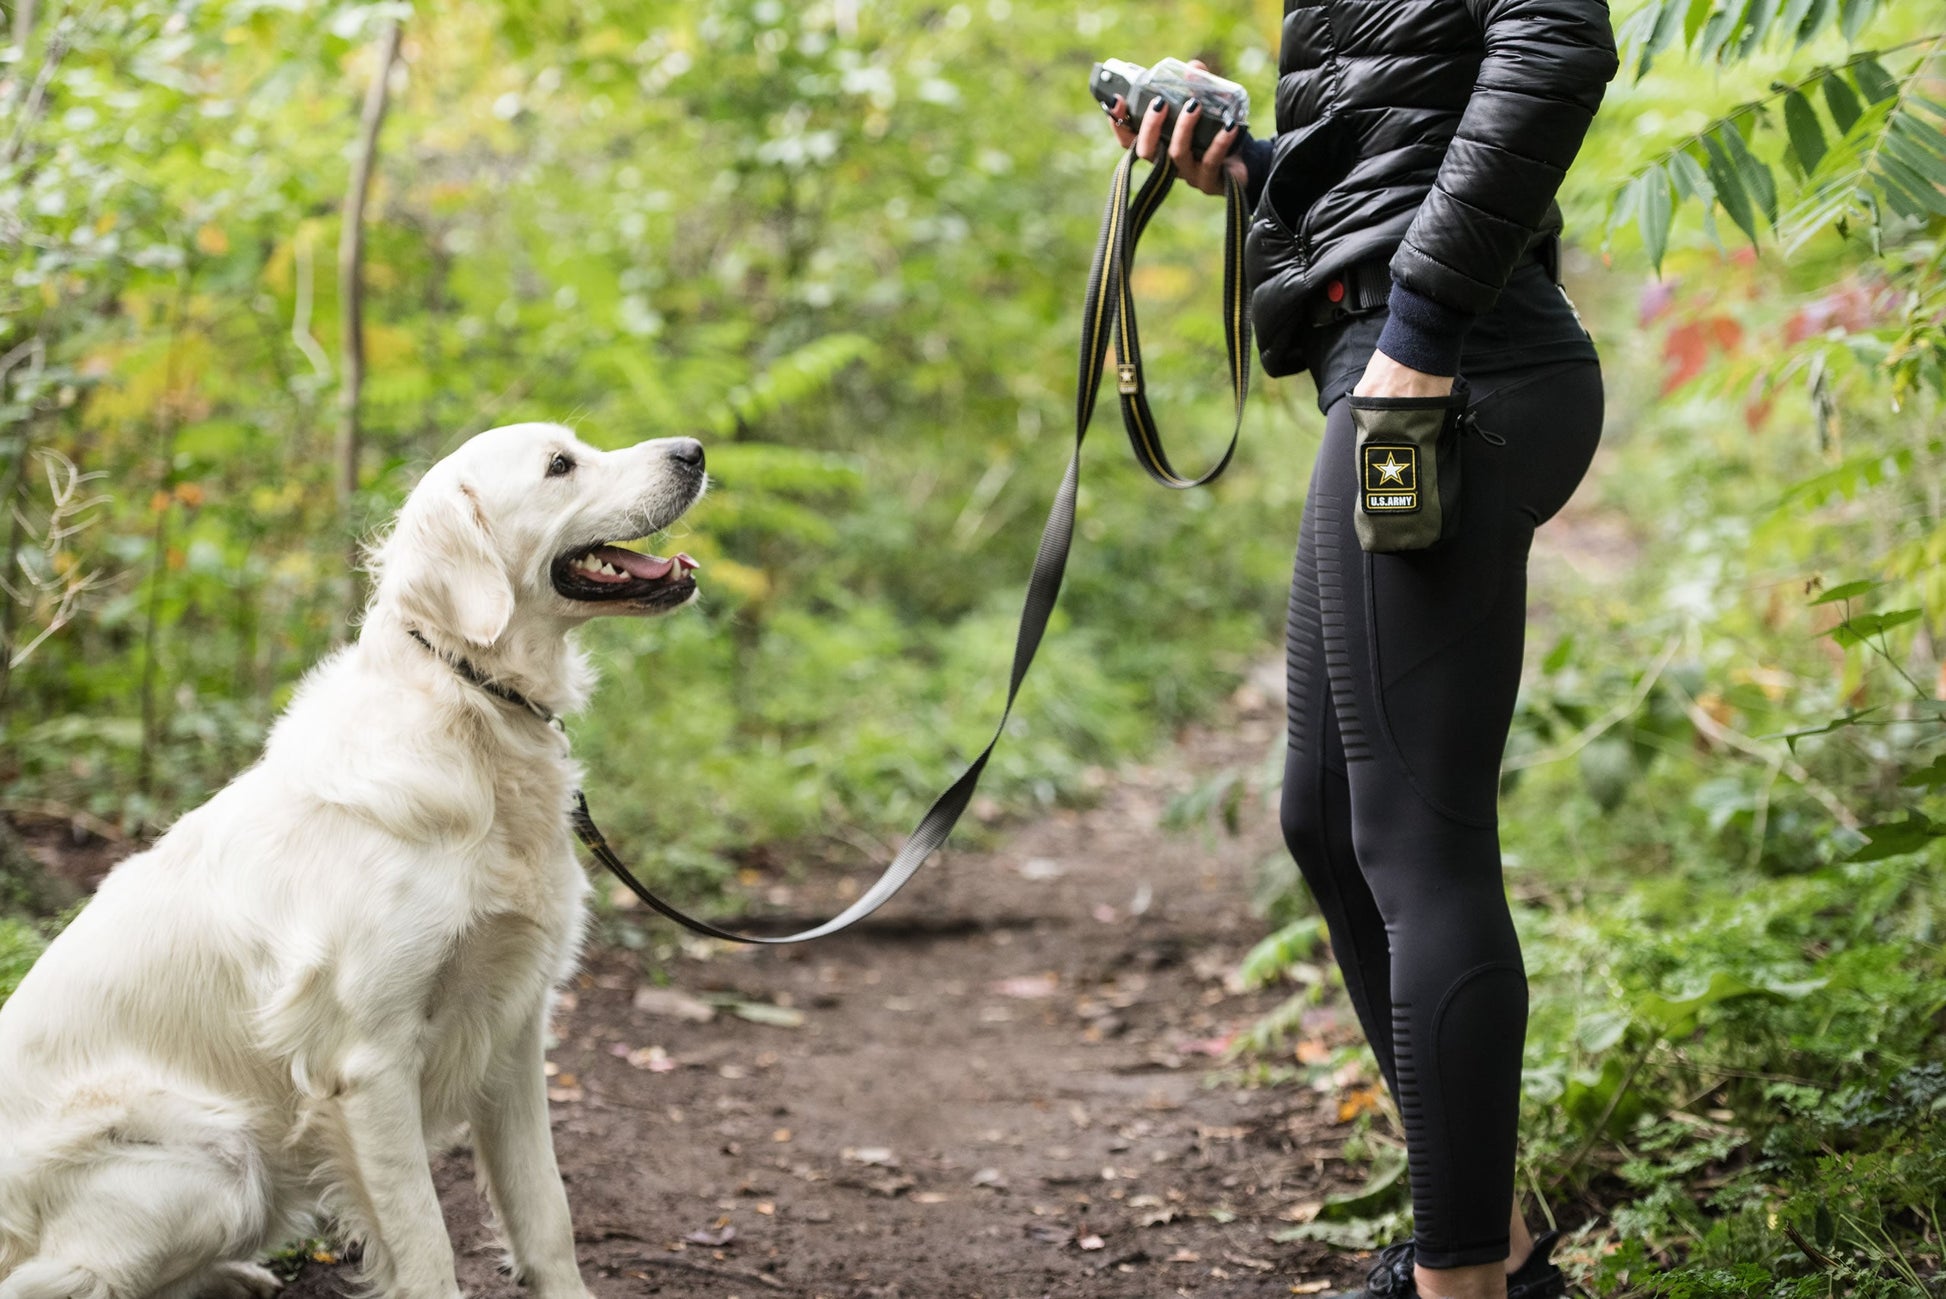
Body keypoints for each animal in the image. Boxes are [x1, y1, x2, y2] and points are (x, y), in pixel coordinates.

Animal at [0, 425, 708, 1299]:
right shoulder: (368, 1060)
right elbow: (427, 1244)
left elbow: (547, 1211)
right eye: (560, 466)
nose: (695, 450)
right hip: (215, 1157)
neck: (471, 706)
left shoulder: (514, 1030)